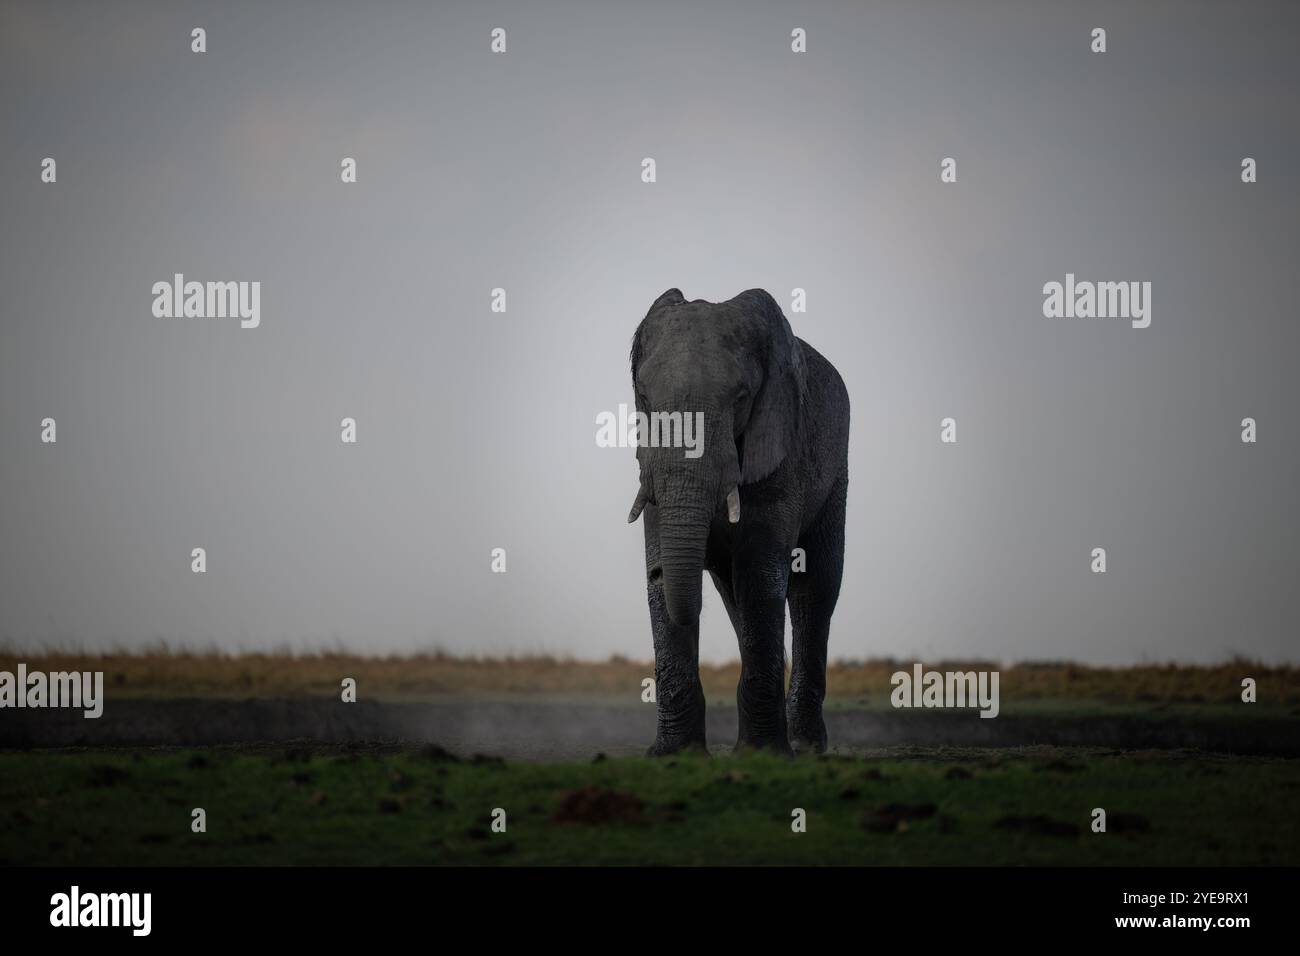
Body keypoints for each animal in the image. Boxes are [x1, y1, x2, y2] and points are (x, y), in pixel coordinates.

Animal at [629, 286, 852, 754]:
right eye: (644, 399)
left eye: (742, 398)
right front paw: (673, 754)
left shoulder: (782, 450)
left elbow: (760, 574)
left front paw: (764, 752)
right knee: (735, 598)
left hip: (835, 474)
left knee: (815, 589)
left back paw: (805, 745)